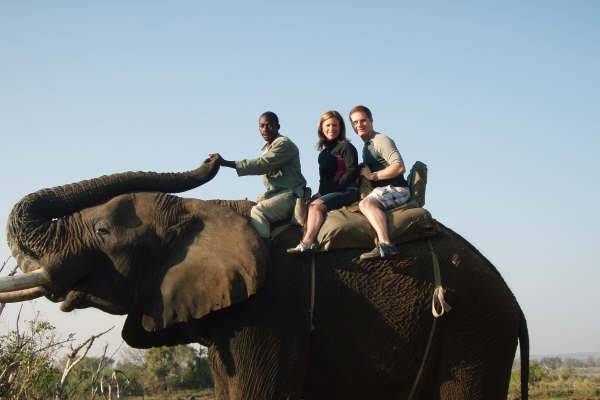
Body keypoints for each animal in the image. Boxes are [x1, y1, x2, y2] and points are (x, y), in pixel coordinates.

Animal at [0, 158, 528, 398]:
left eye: (103, 232)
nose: (216, 158)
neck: (202, 211)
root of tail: (515, 304)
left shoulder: (271, 315)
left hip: (474, 330)